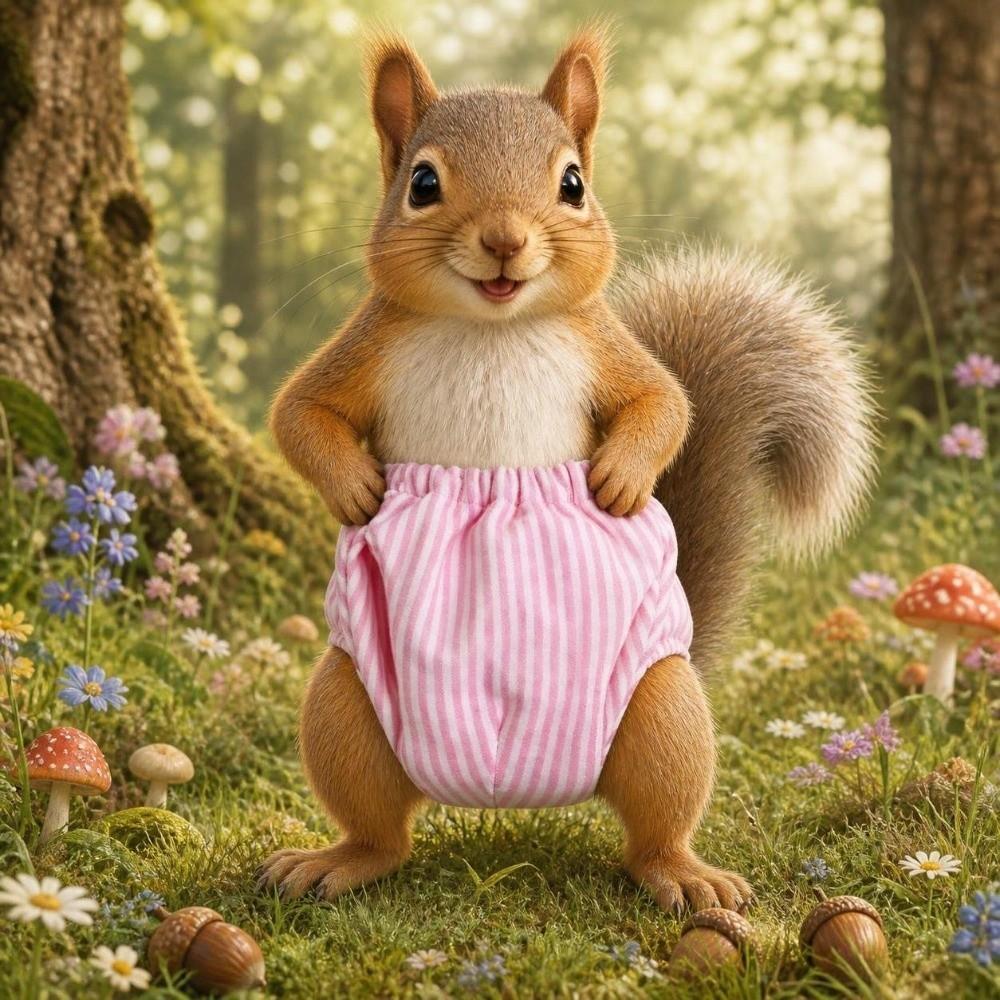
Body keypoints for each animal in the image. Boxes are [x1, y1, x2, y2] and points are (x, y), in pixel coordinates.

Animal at [260, 28, 874, 913]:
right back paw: (336, 860)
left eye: (574, 184)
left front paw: (620, 477)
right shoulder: (365, 341)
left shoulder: (603, 342)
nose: (506, 241)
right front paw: (354, 488)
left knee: (656, 823)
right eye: (422, 183)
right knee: (382, 826)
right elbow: (299, 414)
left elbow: (666, 404)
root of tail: (520, 788)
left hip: (662, 709)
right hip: (349, 701)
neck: (493, 325)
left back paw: (684, 874)